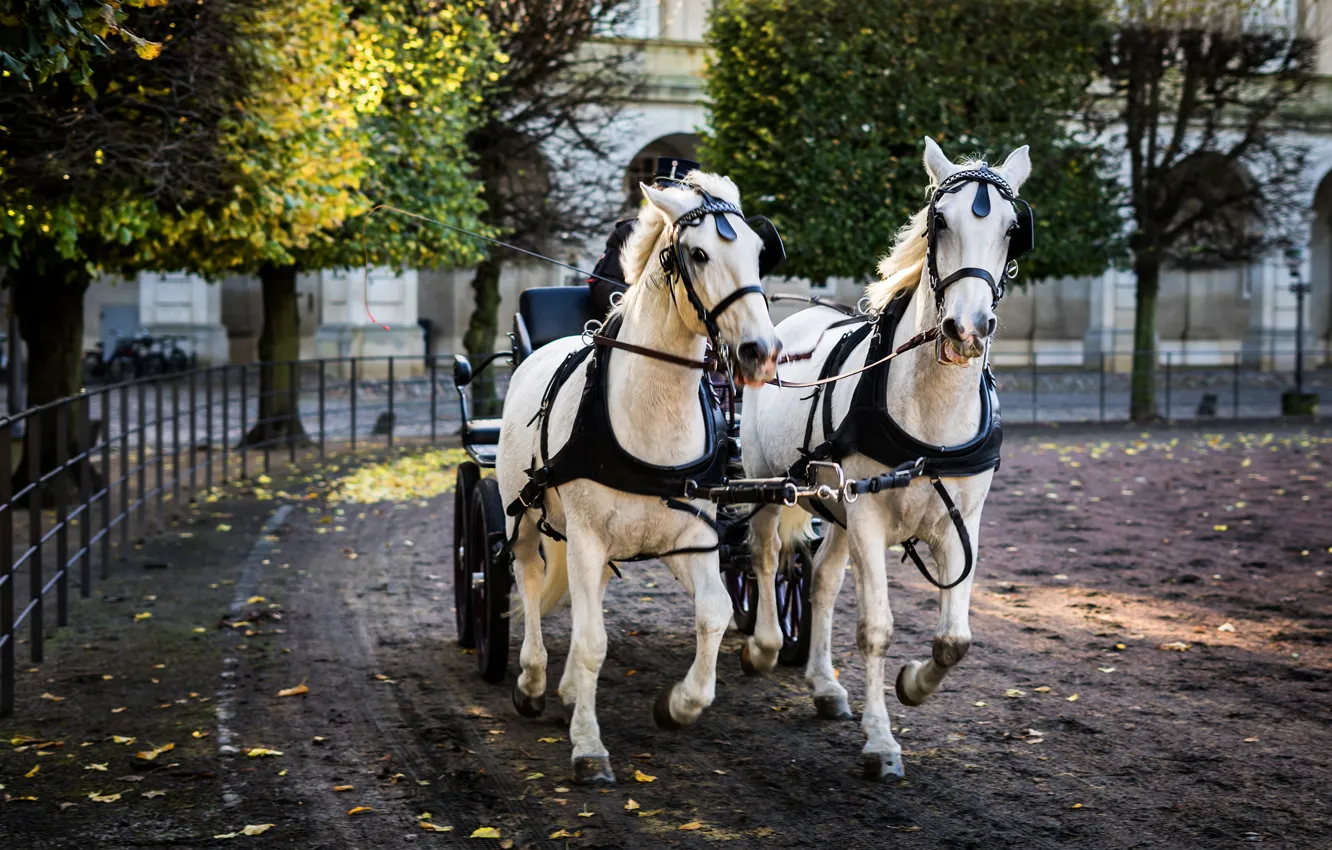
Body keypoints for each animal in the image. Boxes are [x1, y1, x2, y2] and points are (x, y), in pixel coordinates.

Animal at [496, 171, 782, 784]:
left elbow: (714, 613)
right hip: (523, 513)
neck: (653, 414)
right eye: (698, 254)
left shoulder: (693, 537)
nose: (761, 351)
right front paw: (588, 747)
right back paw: (532, 679)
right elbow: (591, 641)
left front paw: (679, 705)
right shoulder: (583, 536)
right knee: (529, 578)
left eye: (757, 252)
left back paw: (565, 689)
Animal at [740, 138, 1031, 778]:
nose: (967, 329)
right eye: (938, 222)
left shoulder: (960, 523)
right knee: (766, 557)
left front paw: (913, 685)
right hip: (766, 482)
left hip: (836, 507)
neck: (930, 419)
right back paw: (765, 646)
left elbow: (955, 639)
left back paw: (824, 686)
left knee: (822, 580)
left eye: (1012, 229)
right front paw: (880, 741)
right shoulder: (869, 518)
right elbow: (875, 628)